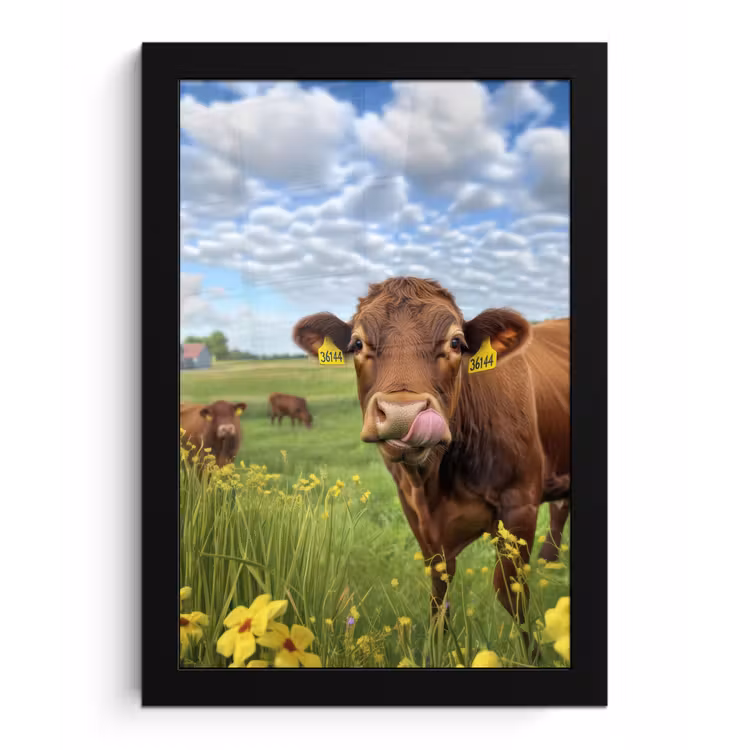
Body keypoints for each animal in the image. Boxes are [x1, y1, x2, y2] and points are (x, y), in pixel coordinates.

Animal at [292, 277, 569, 639]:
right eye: (357, 343)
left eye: (456, 342)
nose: (403, 414)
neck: (435, 481)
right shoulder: (415, 511)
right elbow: (440, 588)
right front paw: (439, 642)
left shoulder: (519, 503)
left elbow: (511, 592)